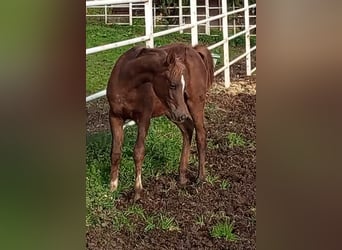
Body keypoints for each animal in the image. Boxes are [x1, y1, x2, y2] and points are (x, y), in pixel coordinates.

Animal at [107, 42, 214, 200]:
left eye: (183, 84)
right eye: (173, 85)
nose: (182, 114)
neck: (126, 84)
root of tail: (195, 51)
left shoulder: (144, 118)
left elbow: (138, 152)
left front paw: (137, 192)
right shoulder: (115, 117)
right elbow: (115, 152)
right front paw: (112, 187)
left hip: (193, 104)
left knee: (201, 134)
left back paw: (200, 178)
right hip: (171, 112)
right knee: (188, 129)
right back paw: (182, 176)